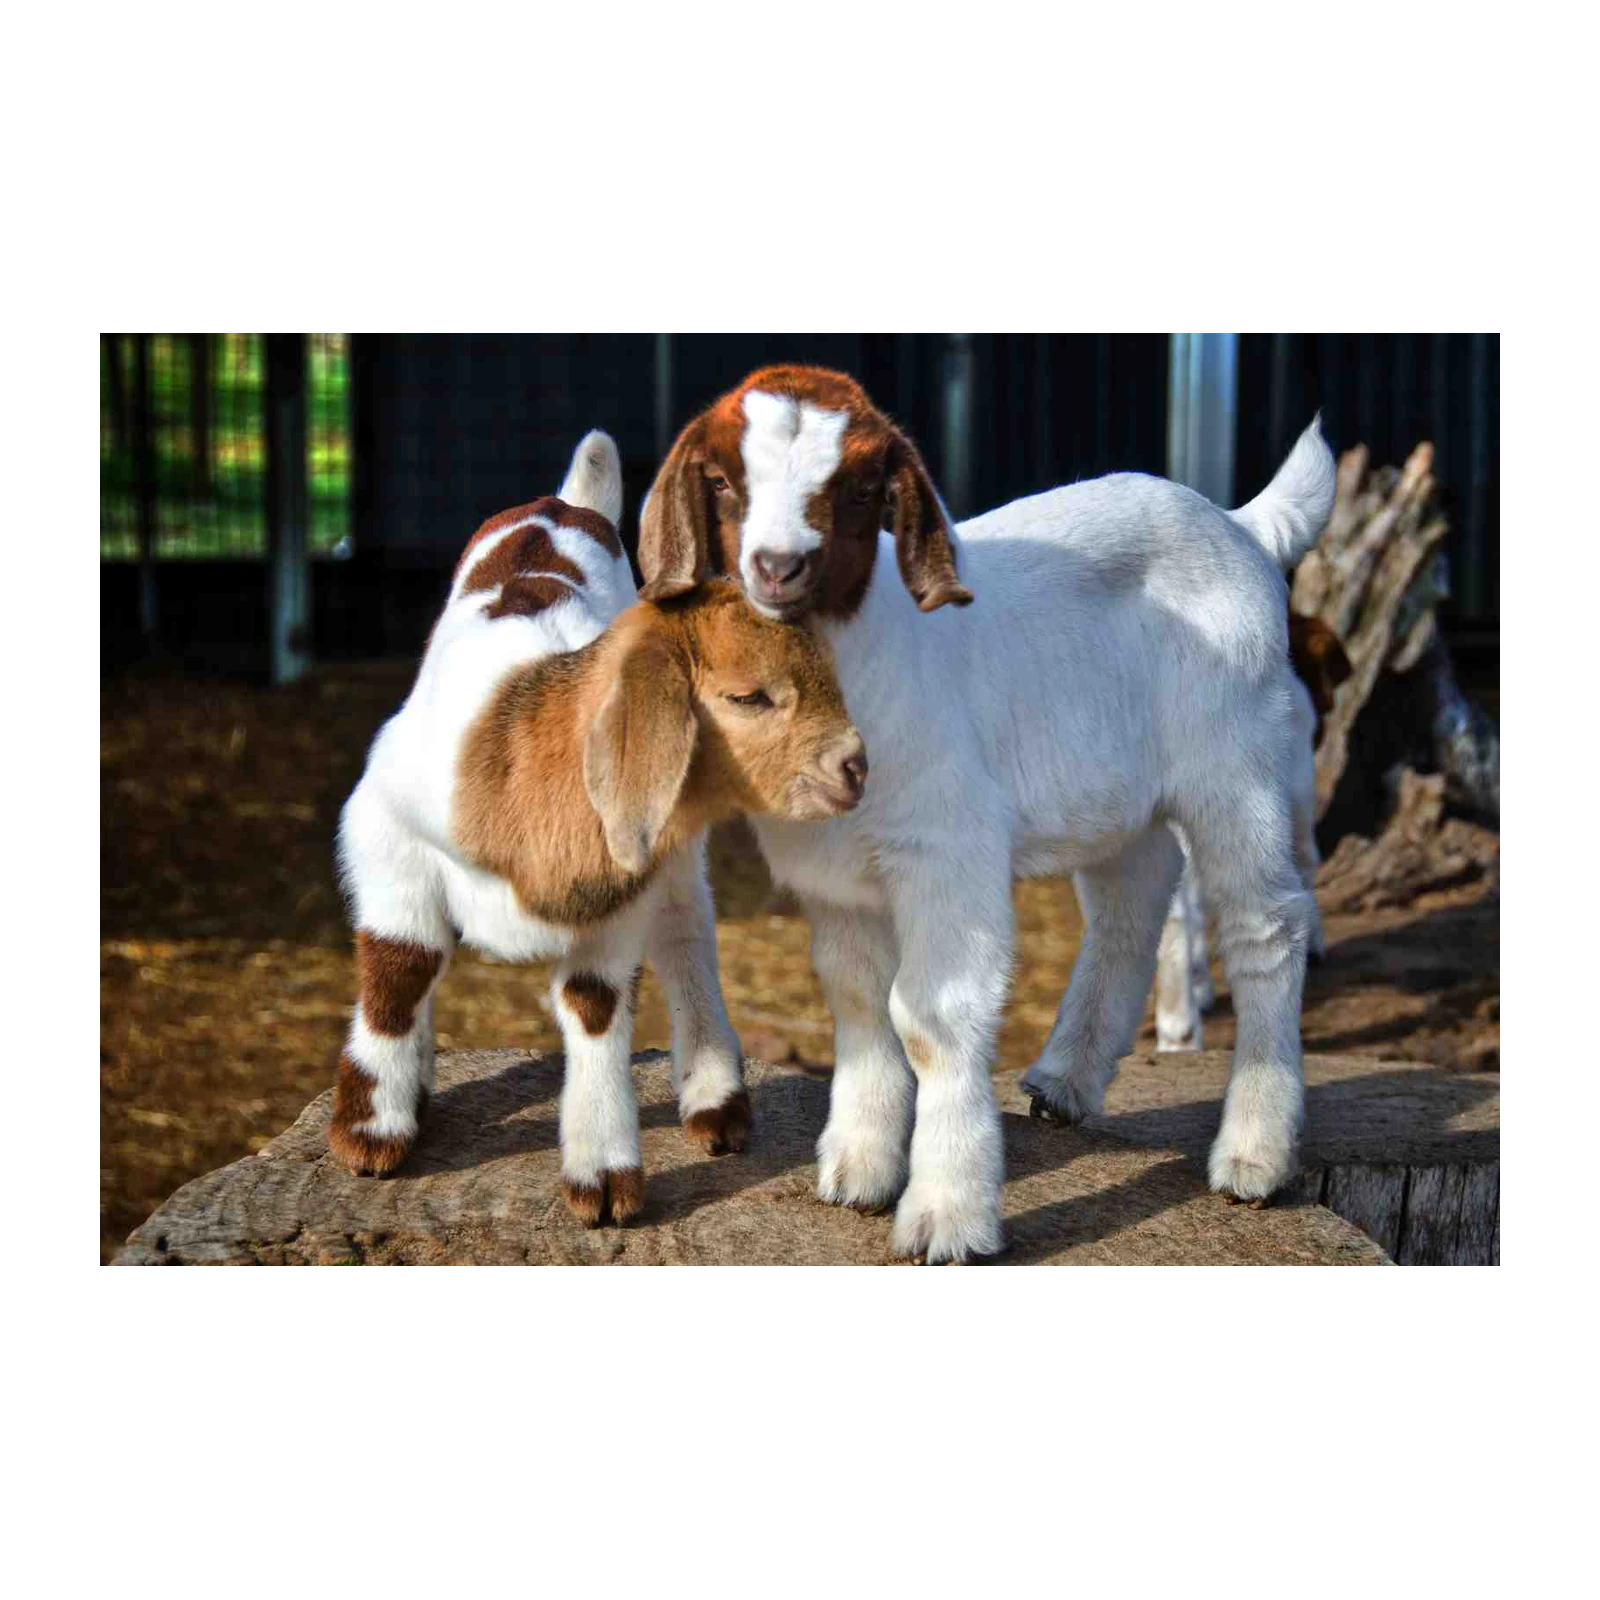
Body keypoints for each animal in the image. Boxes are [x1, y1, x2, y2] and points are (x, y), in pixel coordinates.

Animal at [329, 431, 867, 1226]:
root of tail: (566, 504)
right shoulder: (385, 834)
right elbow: (401, 967)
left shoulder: (617, 892)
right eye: (748, 697)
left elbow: (596, 1007)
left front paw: (604, 1179)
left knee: (685, 935)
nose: (856, 767)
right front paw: (370, 1133)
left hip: (671, 853)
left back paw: (714, 1099)